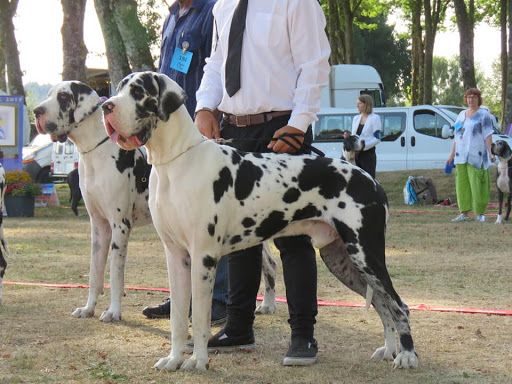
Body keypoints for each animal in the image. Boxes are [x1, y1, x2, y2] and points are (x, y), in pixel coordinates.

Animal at [102, 72, 418, 372]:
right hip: (342, 260)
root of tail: (371, 181)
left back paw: (406, 356)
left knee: (399, 306)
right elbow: (178, 318)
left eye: (138, 91)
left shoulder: (203, 257)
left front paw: (198, 362)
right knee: (382, 303)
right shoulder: (176, 256)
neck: (176, 163)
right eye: (121, 87)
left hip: (366, 254)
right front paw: (173, 359)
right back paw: (389, 349)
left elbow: (201, 319)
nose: (106, 106)